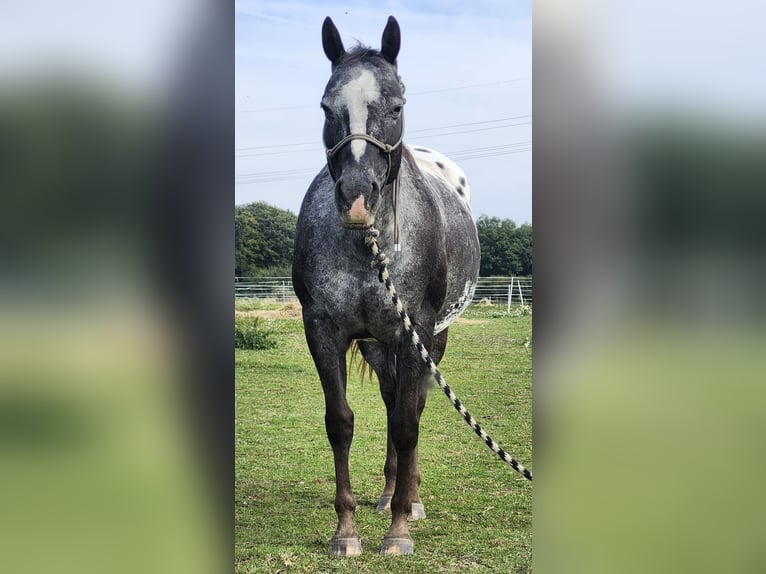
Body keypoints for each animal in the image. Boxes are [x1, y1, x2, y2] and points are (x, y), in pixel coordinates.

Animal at [292, 14, 480, 560]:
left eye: (396, 106)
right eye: (327, 107)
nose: (357, 198)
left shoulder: (415, 330)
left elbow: (406, 422)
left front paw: (398, 531)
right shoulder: (324, 330)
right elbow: (341, 422)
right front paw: (346, 531)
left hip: (431, 339)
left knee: (409, 407)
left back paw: (408, 501)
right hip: (380, 345)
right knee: (393, 398)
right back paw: (388, 495)